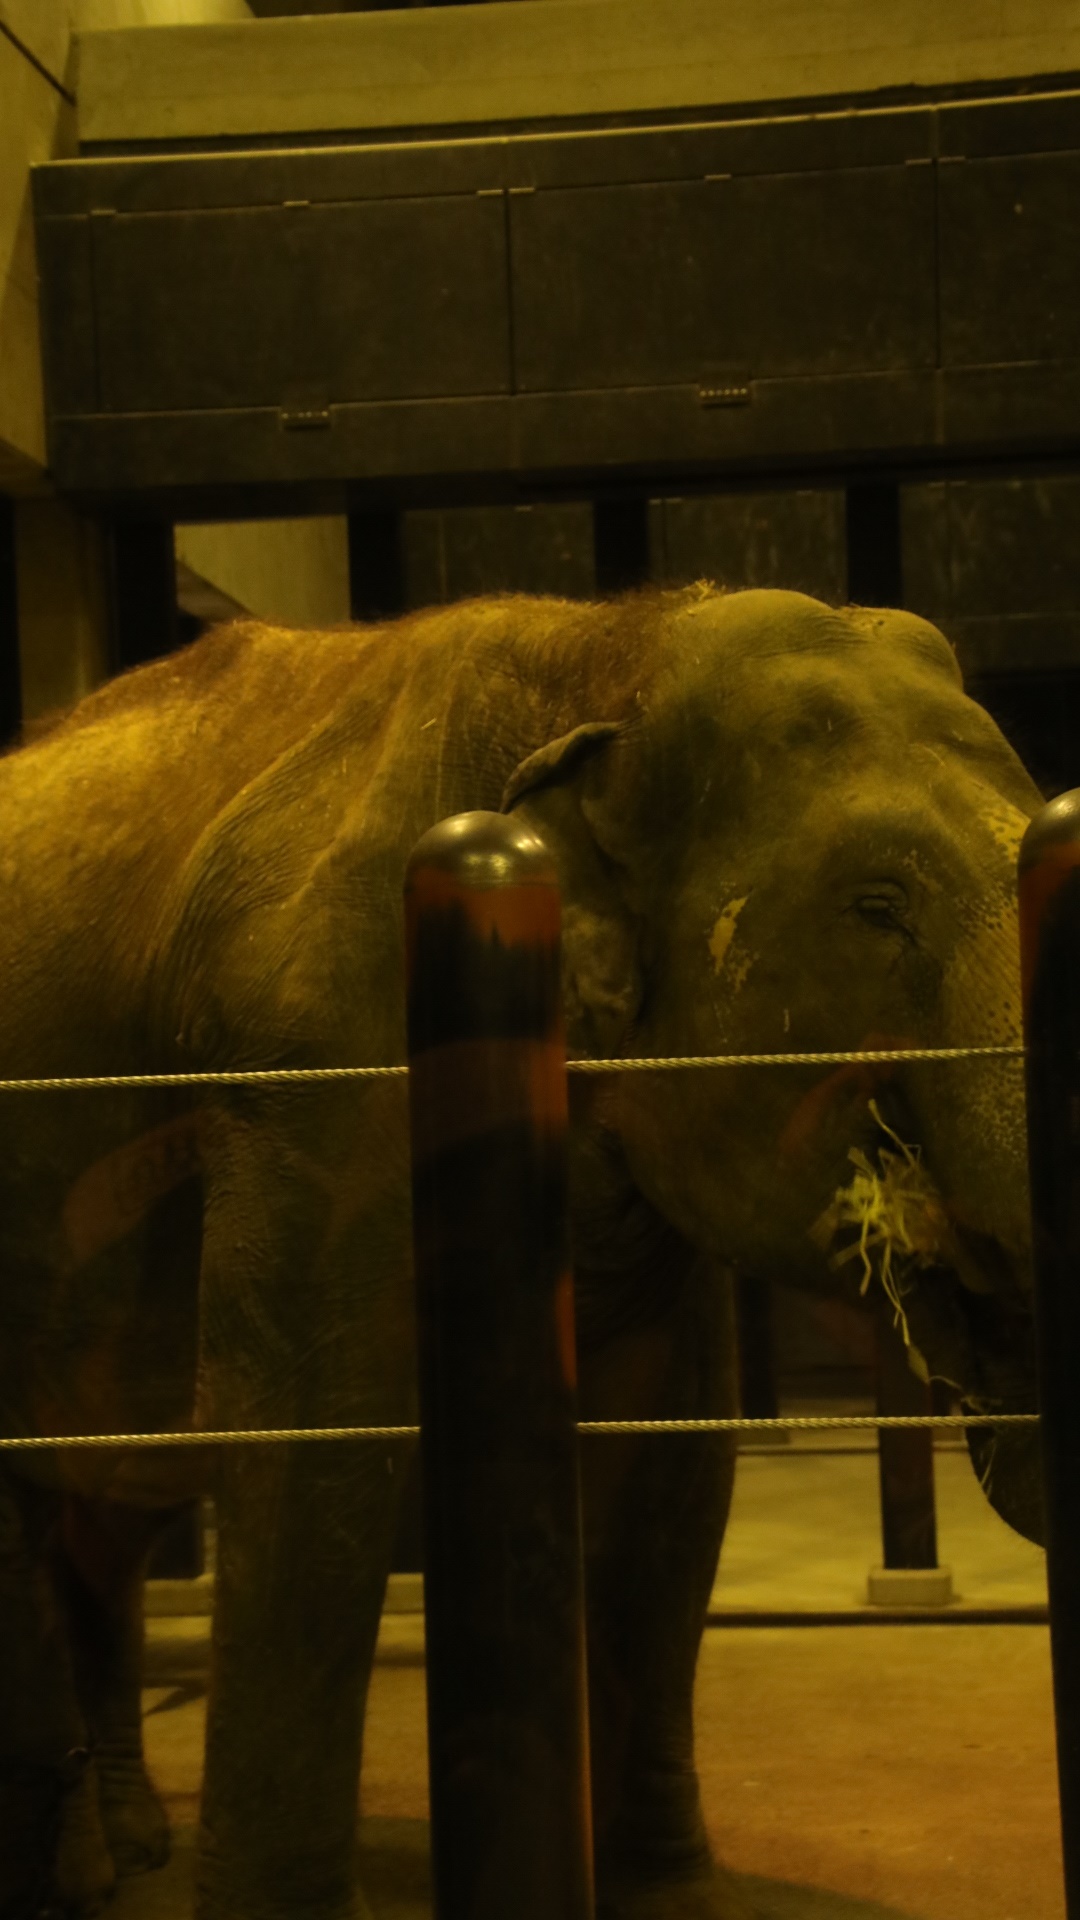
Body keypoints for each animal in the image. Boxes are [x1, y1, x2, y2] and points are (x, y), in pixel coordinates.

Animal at [0, 583, 1045, 1920]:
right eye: (877, 907)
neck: (606, 652)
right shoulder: (322, 1061)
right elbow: (311, 1448)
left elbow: (665, 1465)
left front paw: (671, 1902)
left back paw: (120, 1852)